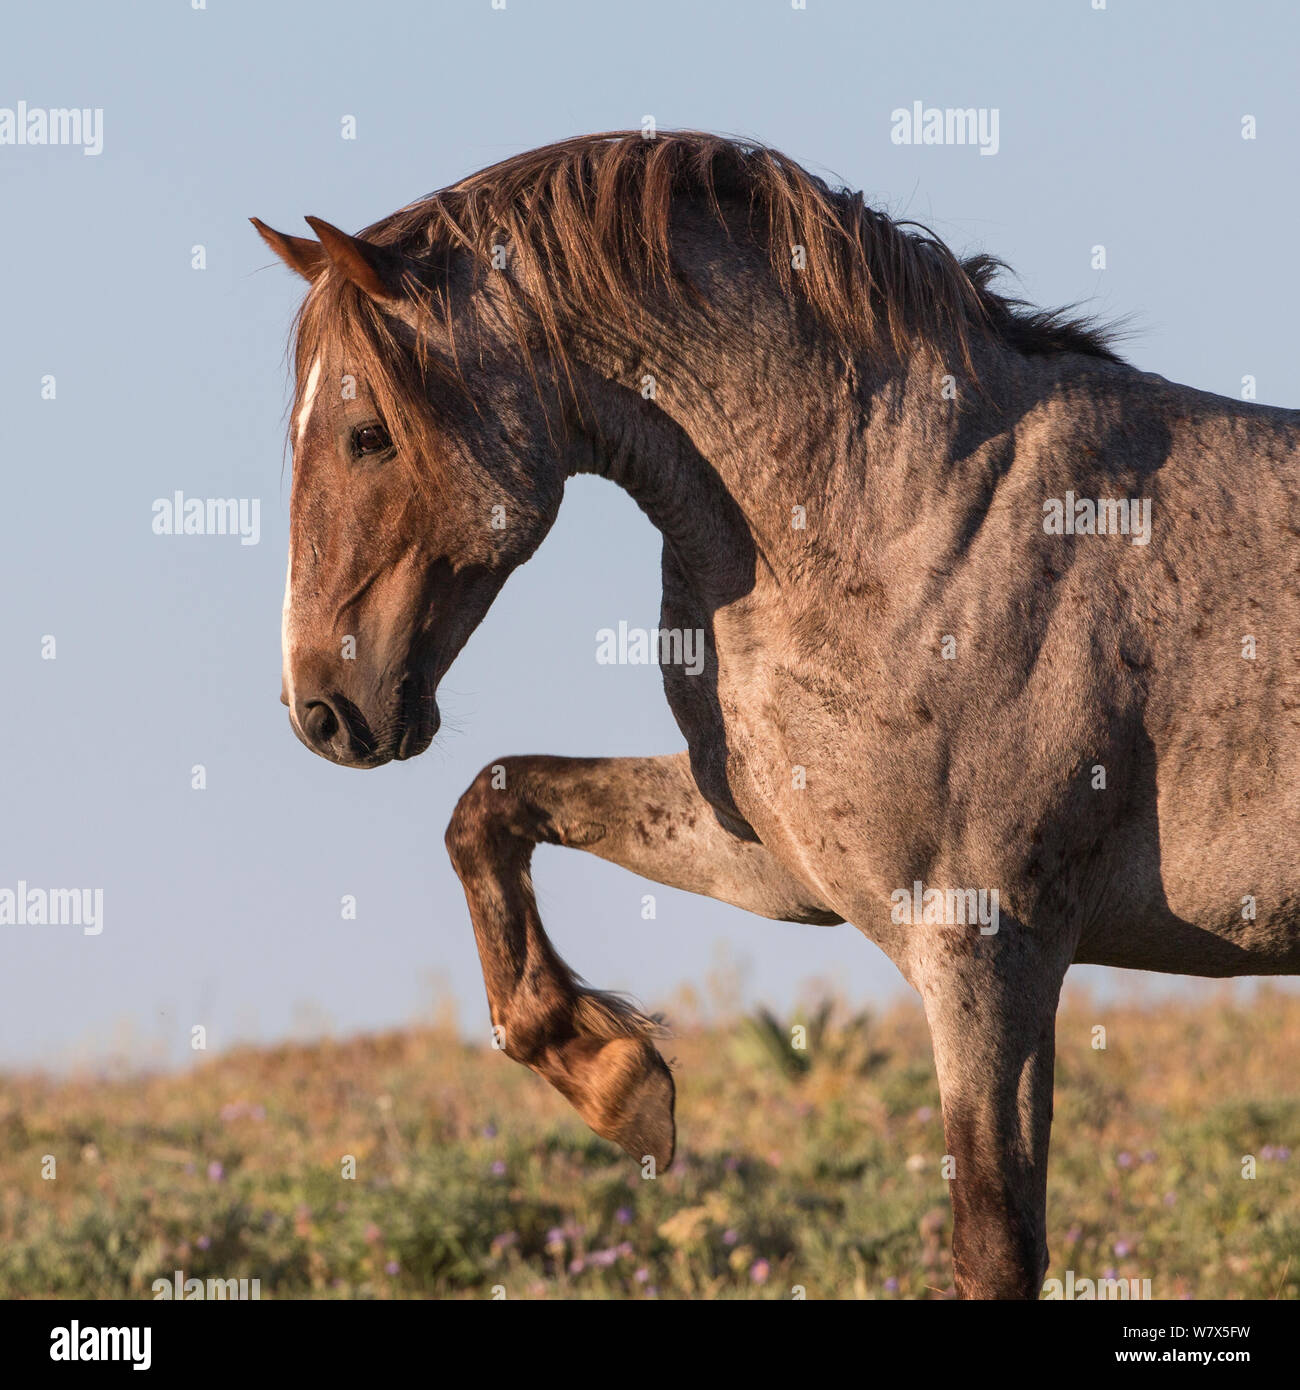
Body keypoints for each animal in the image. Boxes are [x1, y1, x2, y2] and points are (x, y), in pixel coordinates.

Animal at [253, 130, 1299, 1299]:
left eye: (366, 434)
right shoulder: (778, 860)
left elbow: (993, 1241)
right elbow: (492, 805)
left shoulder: (989, 946)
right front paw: (613, 1079)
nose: (321, 708)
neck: (910, 521)